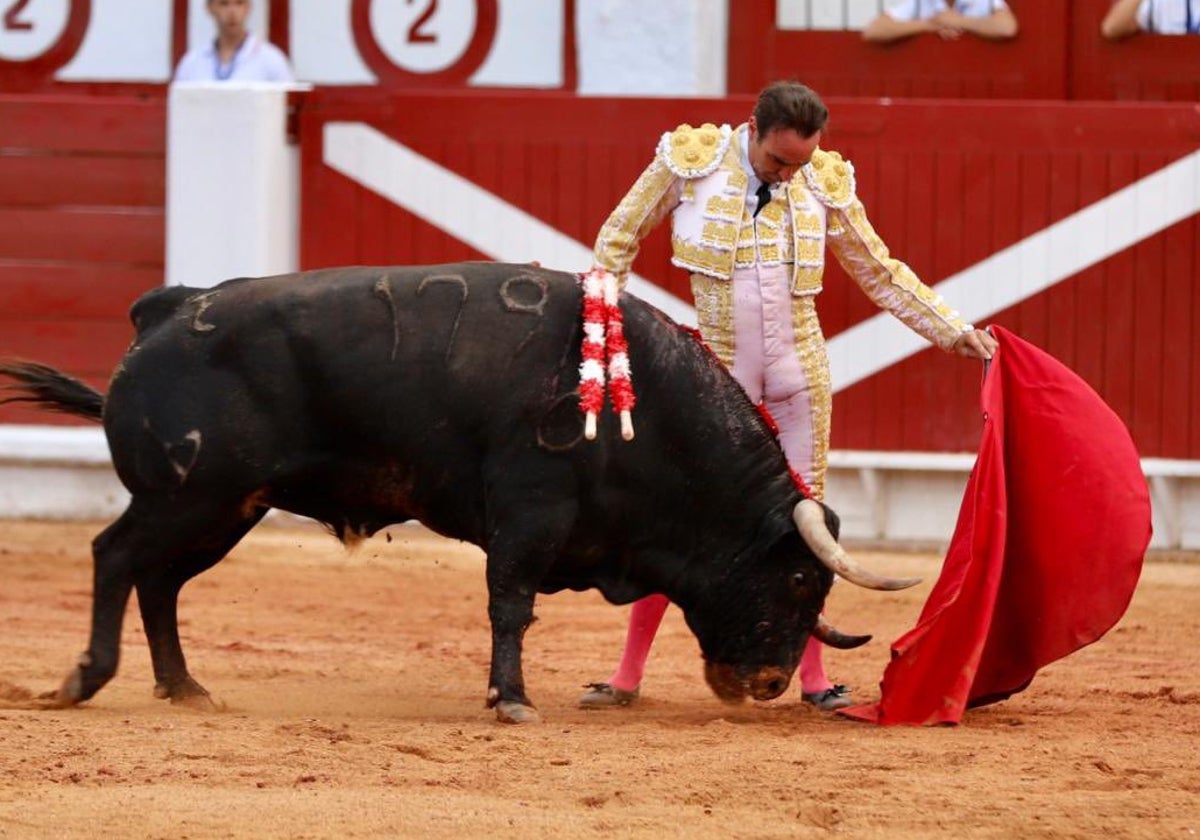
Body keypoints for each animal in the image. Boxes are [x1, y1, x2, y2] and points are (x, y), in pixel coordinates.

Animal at [2, 262, 916, 720]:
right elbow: (510, 605)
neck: (643, 406)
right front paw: (510, 700)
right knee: (116, 556)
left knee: (158, 580)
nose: (767, 684)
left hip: (227, 507)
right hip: (186, 497)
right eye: (797, 577)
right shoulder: (529, 513)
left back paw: (184, 687)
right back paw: (85, 681)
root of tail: (165, 309)